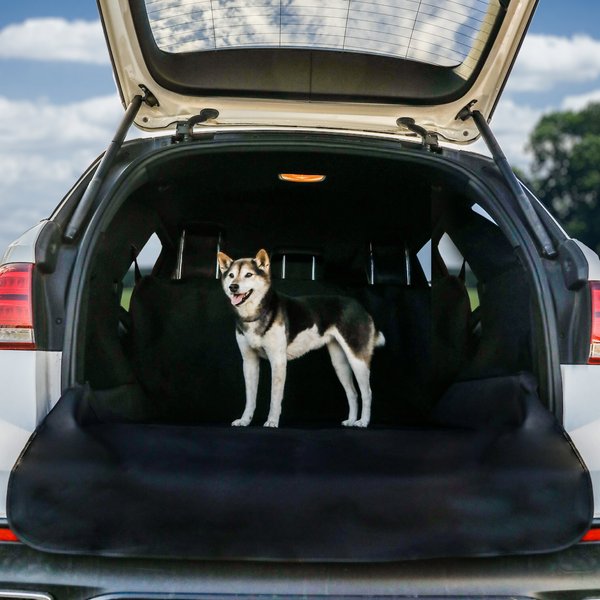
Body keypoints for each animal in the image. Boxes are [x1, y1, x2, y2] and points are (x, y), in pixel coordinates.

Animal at [217, 248, 384, 426]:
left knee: (367, 393)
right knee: (352, 392)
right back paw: (351, 420)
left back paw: (363, 422)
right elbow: (250, 398)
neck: (255, 314)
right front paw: (245, 420)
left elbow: (275, 397)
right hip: (340, 363)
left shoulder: (278, 361)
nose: (233, 287)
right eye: (231, 275)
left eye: (248, 275)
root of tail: (360, 307)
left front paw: (272, 421)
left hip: (357, 361)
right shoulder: (249, 362)